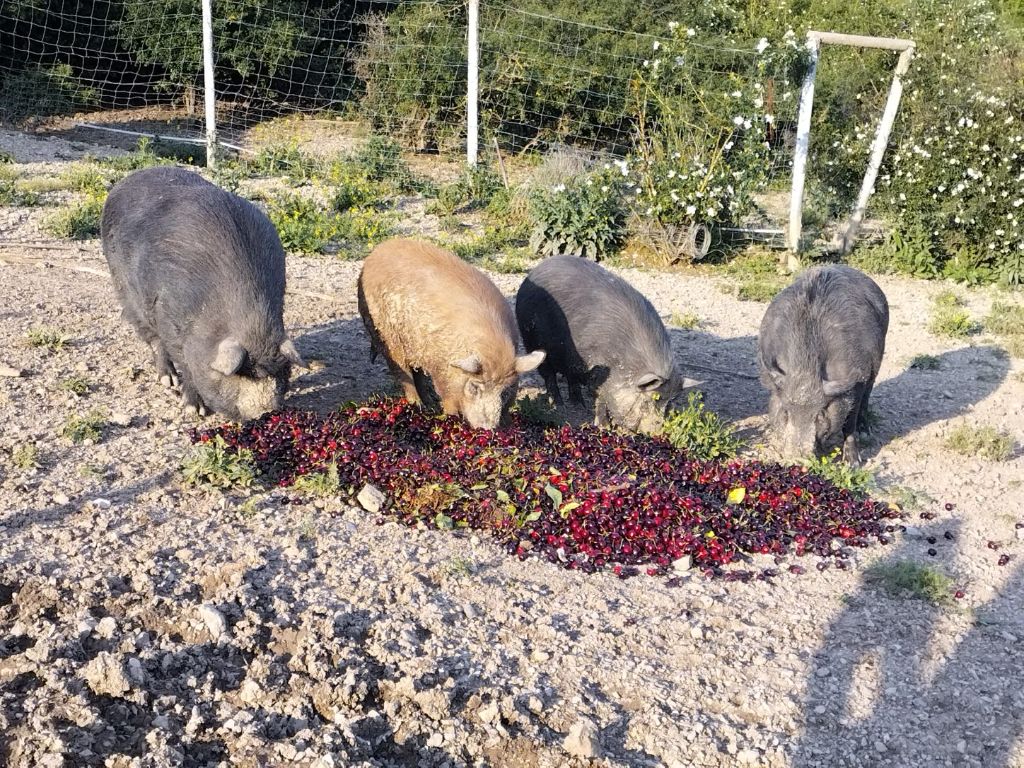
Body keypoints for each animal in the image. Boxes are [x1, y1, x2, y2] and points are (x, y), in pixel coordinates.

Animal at [101, 165, 305, 423]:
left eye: (280, 375)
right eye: (243, 374)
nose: (265, 411)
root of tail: (128, 179)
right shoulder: (171, 321)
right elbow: (186, 365)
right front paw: (194, 411)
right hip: (124, 287)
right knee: (151, 336)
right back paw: (168, 380)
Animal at [356, 237, 544, 430]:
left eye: (504, 392)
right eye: (475, 387)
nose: (487, 428)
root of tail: (376, 252)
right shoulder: (442, 371)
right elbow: (448, 400)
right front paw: (451, 418)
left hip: (415, 347)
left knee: (418, 374)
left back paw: (430, 404)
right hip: (389, 337)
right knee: (403, 373)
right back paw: (418, 407)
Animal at [516, 257, 700, 434]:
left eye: (669, 403)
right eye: (648, 401)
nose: (656, 432)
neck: (627, 363)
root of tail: (537, 269)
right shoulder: (599, 371)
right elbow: (601, 399)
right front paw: (604, 426)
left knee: (571, 377)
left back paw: (579, 405)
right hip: (533, 341)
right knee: (549, 376)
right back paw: (558, 404)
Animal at [757, 264, 892, 466]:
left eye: (820, 413)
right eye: (786, 412)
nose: (797, 459)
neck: (806, 367)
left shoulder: (857, 381)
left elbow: (849, 423)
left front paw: (853, 464)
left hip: (876, 363)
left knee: (868, 395)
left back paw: (865, 433)